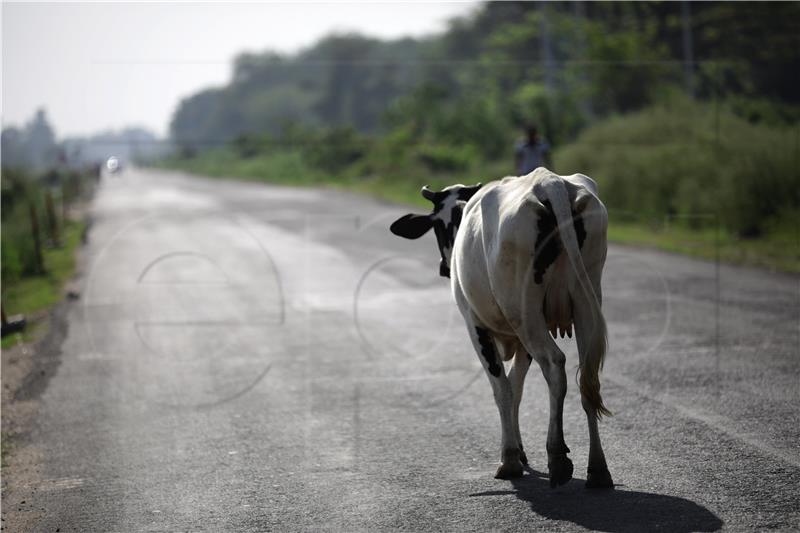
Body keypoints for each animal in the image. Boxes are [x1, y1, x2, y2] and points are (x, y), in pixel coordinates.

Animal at [390, 166, 612, 486]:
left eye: (439, 225)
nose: (445, 267)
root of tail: (550, 182)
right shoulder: (520, 339)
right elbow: (516, 388)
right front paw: (519, 451)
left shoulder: (475, 324)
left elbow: (503, 389)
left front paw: (510, 458)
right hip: (586, 300)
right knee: (588, 378)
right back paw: (598, 470)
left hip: (525, 312)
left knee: (555, 365)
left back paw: (557, 456)